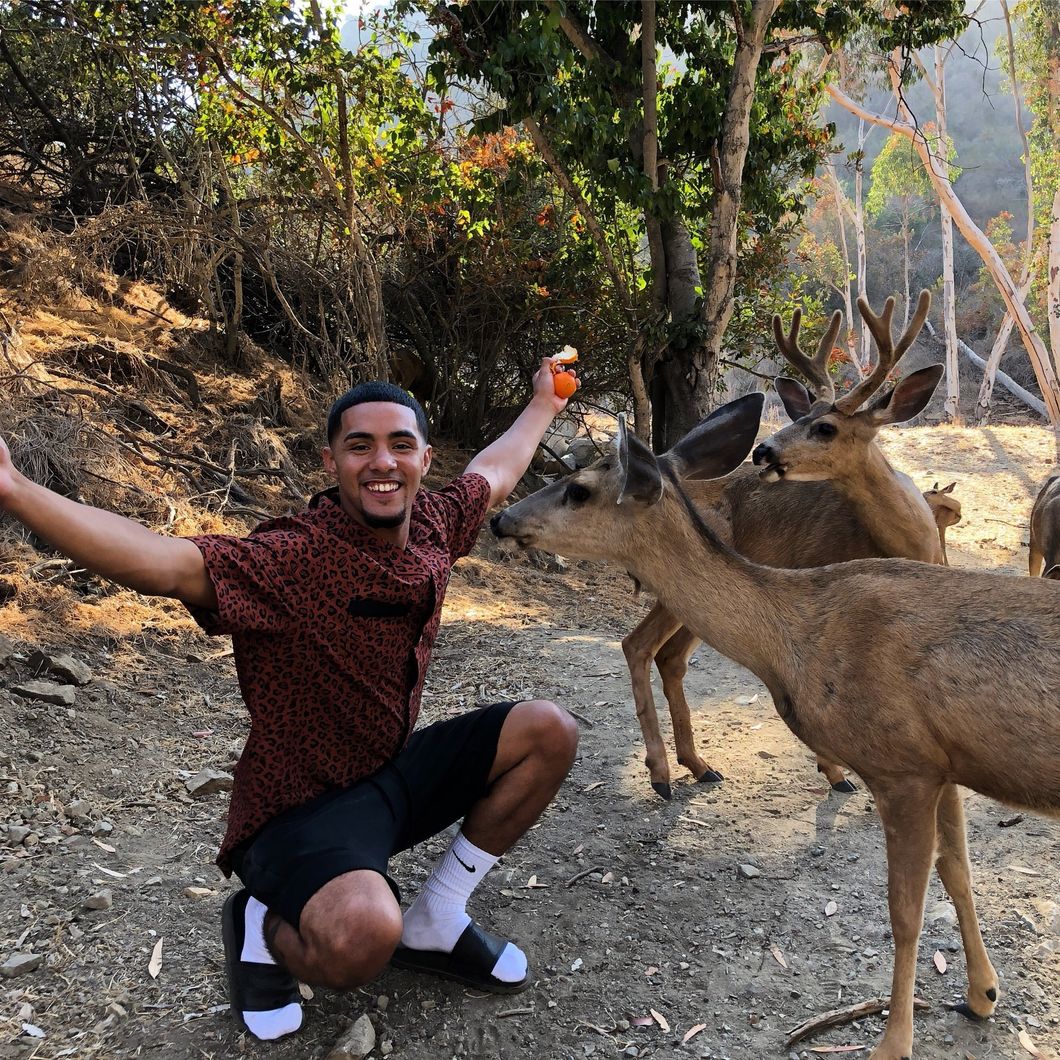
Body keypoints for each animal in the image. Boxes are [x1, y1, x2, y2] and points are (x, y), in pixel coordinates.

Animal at [491, 393, 1060, 1060]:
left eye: (578, 489)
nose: (500, 518)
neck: (795, 637)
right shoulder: (942, 762)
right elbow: (959, 874)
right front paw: (982, 995)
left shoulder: (902, 764)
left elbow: (904, 910)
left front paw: (892, 1042)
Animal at [620, 291, 942, 799]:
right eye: (801, 415)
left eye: (824, 427)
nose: (763, 450)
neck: (911, 540)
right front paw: (836, 773)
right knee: (637, 645)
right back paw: (661, 775)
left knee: (669, 657)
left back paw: (699, 765)